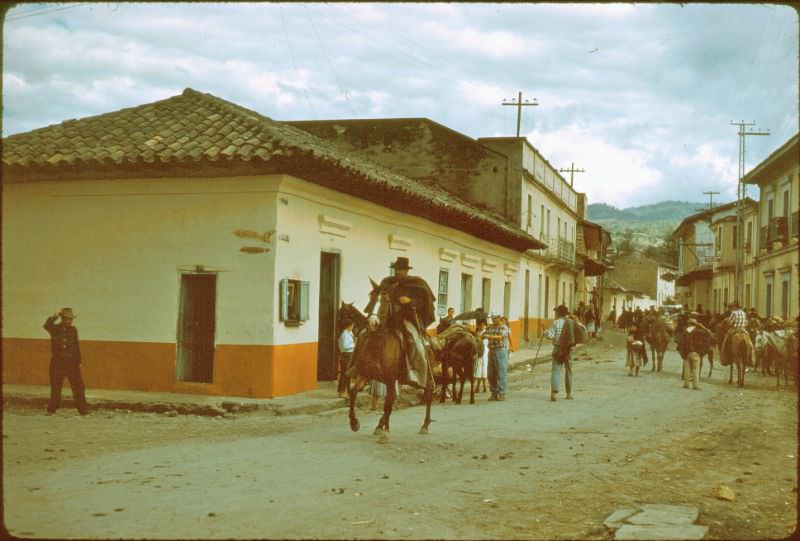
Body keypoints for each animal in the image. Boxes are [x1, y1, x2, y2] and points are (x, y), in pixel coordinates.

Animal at [340, 280, 434, 440]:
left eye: (386, 300)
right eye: (371, 297)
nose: (372, 322)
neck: (378, 343)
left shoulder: (390, 378)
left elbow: (387, 404)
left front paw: (384, 432)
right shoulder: (365, 374)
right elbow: (353, 393)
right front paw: (354, 423)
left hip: (425, 374)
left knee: (428, 393)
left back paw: (425, 425)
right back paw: (381, 425)